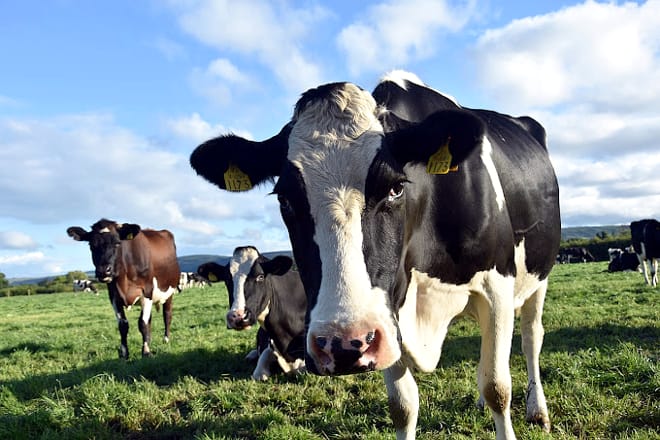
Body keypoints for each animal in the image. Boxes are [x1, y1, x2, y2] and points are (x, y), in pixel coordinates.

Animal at [67, 219, 180, 359]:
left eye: (117, 243)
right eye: (91, 245)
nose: (103, 271)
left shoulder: (147, 292)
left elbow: (142, 323)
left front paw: (146, 351)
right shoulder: (114, 297)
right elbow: (123, 325)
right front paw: (124, 353)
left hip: (169, 292)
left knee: (167, 315)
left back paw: (166, 339)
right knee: (150, 319)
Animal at [189, 70, 560, 439]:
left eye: (395, 188)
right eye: (285, 199)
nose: (341, 344)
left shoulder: (497, 286)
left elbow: (497, 387)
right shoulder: (387, 310)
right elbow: (403, 406)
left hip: (537, 280)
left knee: (531, 338)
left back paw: (537, 410)